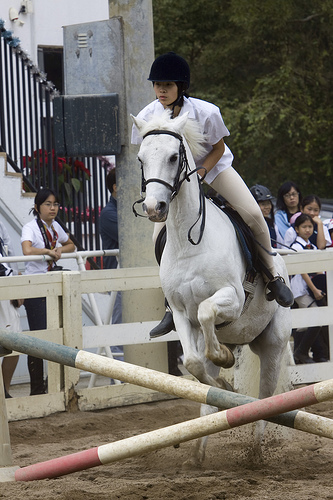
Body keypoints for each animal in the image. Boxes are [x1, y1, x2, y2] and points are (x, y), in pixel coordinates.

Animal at [132, 109, 290, 464]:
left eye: (173, 157)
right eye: (141, 159)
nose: (154, 208)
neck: (189, 242)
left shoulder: (231, 298)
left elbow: (206, 310)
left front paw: (225, 359)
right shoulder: (180, 313)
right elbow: (193, 363)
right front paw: (224, 380)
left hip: (273, 344)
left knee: (265, 397)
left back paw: (255, 453)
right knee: (206, 384)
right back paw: (198, 453)